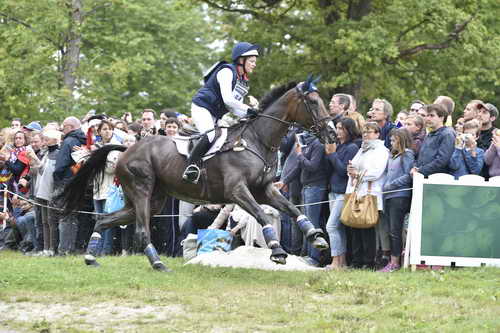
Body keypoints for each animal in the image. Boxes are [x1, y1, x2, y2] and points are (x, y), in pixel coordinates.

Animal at [62, 76, 336, 272]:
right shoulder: (238, 191)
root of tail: (127, 148)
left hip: (153, 199)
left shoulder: (264, 190)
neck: (257, 140)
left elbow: (293, 209)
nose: (332, 133)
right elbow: (261, 215)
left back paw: (90, 258)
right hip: (141, 191)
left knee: (104, 220)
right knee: (140, 230)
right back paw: (158, 264)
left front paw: (317, 238)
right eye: (313, 102)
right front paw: (277, 250)